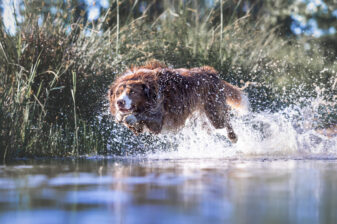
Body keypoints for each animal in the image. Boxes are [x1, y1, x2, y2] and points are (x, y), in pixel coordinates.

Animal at [107, 61, 247, 142]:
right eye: (118, 93)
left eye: (132, 92)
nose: (119, 102)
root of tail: (211, 73)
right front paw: (121, 116)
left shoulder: (158, 120)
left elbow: (136, 116)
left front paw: (127, 117)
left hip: (214, 113)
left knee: (225, 121)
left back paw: (233, 137)